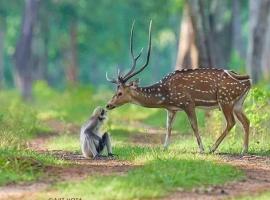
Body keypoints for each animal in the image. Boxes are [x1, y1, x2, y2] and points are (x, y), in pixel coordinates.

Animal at [105, 21, 251, 154]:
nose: (108, 105)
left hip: (225, 99)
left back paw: (212, 148)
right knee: (246, 121)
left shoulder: (188, 102)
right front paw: (164, 148)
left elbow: (194, 126)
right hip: (237, 103)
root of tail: (247, 81)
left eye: (119, 92)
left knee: (231, 122)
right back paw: (244, 149)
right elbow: (168, 127)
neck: (165, 96)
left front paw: (201, 149)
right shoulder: (171, 109)